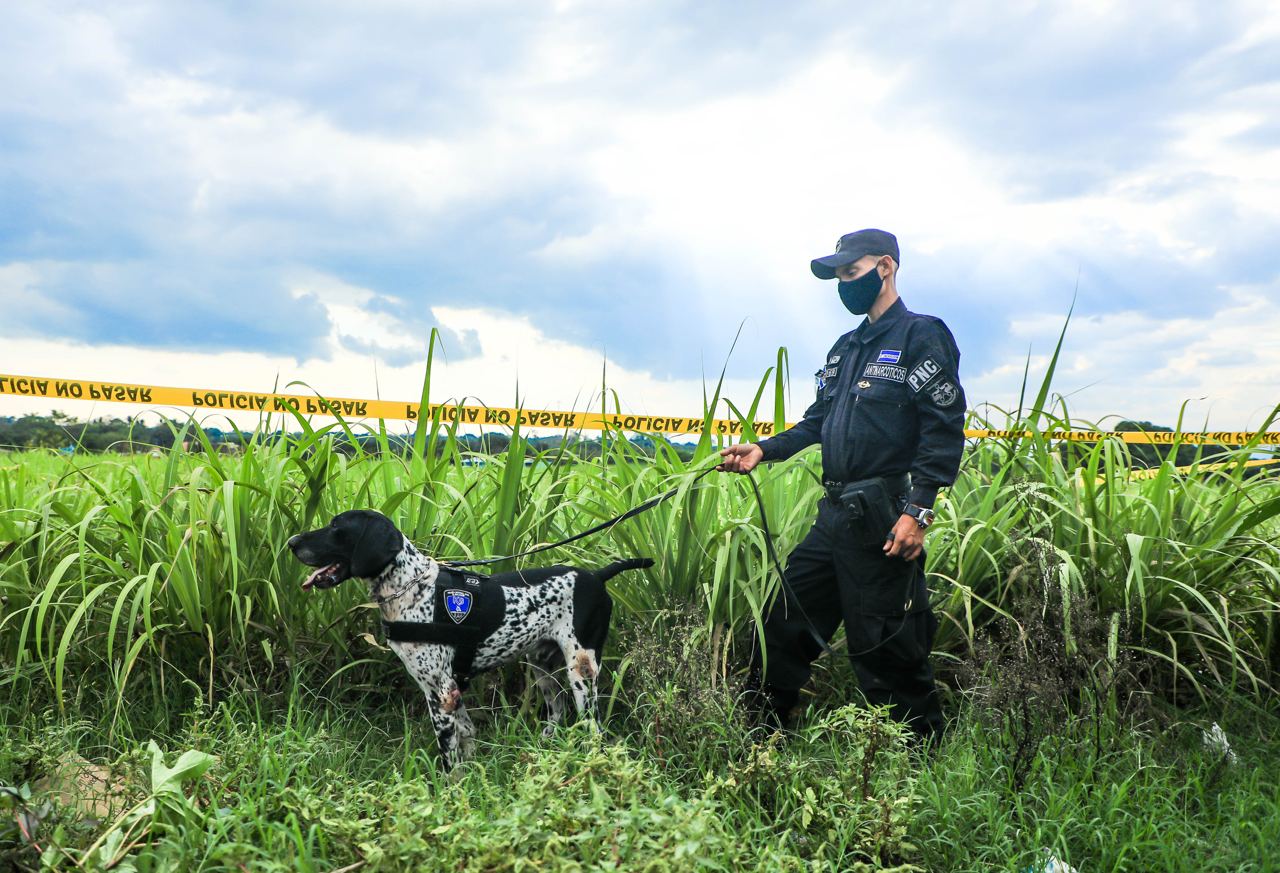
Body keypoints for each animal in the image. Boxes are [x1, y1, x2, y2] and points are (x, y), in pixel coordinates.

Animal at [289, 506, 650, 762]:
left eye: (337, 527)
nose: (291, 543)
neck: (411, 588)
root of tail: (597, 576)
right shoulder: (449, 690)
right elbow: (466, 738)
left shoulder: (441, 692)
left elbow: (450, 758)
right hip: (542, 666)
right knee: (558, 713)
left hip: (581, 670)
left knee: (593, 727)